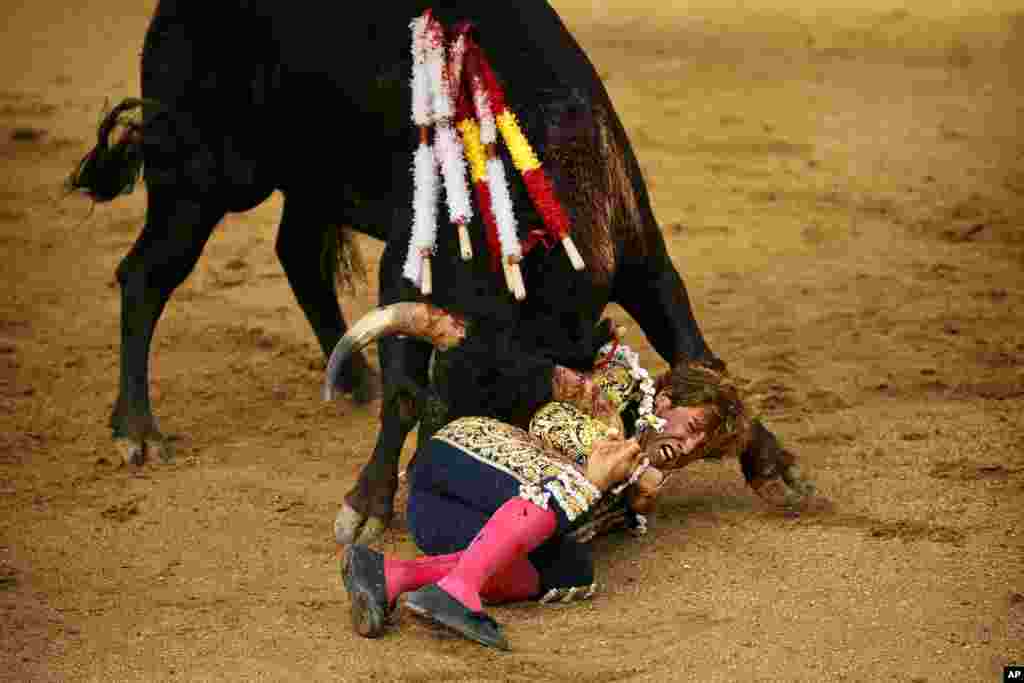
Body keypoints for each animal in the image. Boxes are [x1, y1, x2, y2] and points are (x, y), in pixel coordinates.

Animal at [70, 0, 806, 544]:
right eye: (442, 420)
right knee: (146, 275)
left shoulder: (644, 254)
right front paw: (365, 505)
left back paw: (349, 377)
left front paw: (776, 467)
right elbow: (404, 386)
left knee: (295, 254)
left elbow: (698, 352)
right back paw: (138, 431)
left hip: (307, 181)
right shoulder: (403, 271)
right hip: (204, 175)